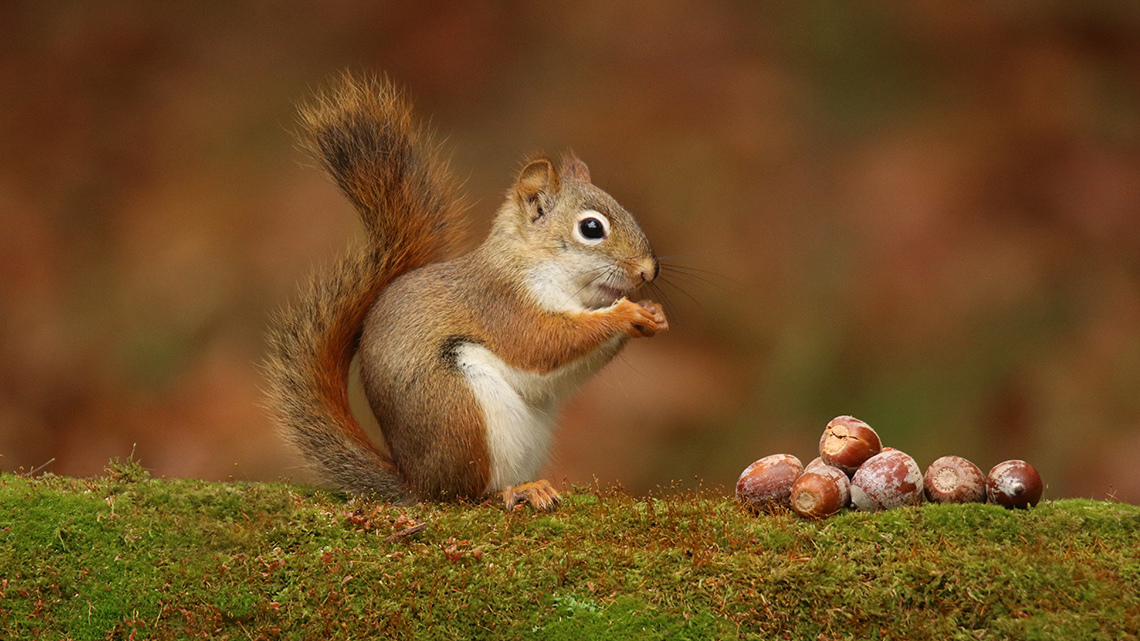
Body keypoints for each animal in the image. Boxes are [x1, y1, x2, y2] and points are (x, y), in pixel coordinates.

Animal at [264, 72, 667, 512]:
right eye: (592, 228)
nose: (649, 271)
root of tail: (417, 483)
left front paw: (653, 313)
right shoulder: (502, 305)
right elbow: (543, 343)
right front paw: (626, 314)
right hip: (461, 408)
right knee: (465, 495)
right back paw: (515, 491)